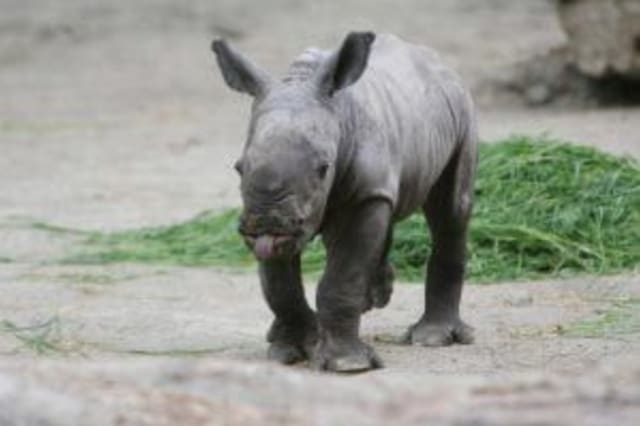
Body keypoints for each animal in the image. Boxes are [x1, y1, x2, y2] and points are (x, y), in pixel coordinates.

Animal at [212, 32, 478, 372]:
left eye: (324, 168)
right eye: (238, 168)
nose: (267, 221)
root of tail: (437, 62)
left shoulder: (361, 195)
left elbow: (342, 277)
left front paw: (348, 364)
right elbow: (279, 286)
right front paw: (291, 352)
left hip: (462, 109)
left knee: (451, 211)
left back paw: (431, 338)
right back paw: (372, 300)